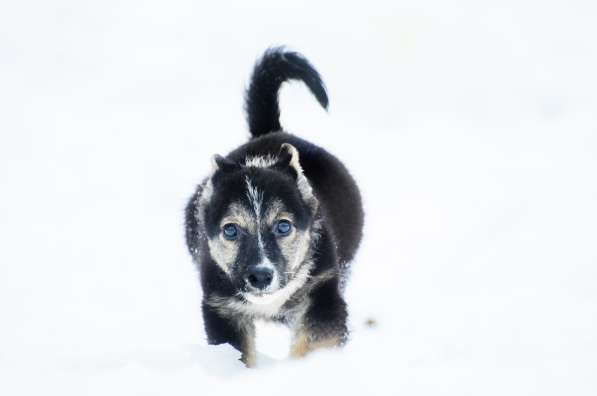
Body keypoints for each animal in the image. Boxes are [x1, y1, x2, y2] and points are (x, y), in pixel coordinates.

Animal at [185, 47, 364, 368]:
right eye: (230, 230)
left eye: (283, 226)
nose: (260, 276)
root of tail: (271, 132)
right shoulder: (221, 306)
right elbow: (239, 352)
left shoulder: (321, 292)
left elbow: (316, 341)